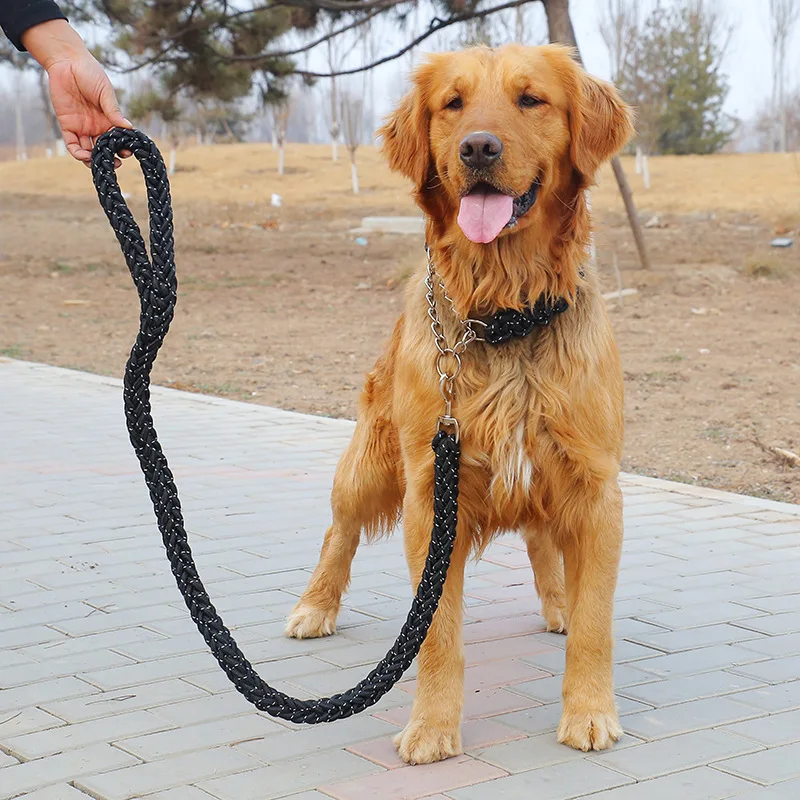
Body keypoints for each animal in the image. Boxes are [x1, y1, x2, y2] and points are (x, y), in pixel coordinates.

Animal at [284, 42, 636, 764]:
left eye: (531, 99)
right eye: (453, 104)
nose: (478, 146)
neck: (505, 314)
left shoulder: (595, 486)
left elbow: (596, 621)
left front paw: (590, 711)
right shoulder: (431, 491)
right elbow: (437, 632)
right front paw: (432, 726)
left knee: (543, 540)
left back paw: (557, 602)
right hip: (370, 465)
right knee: (340, 530)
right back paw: (315, 606)